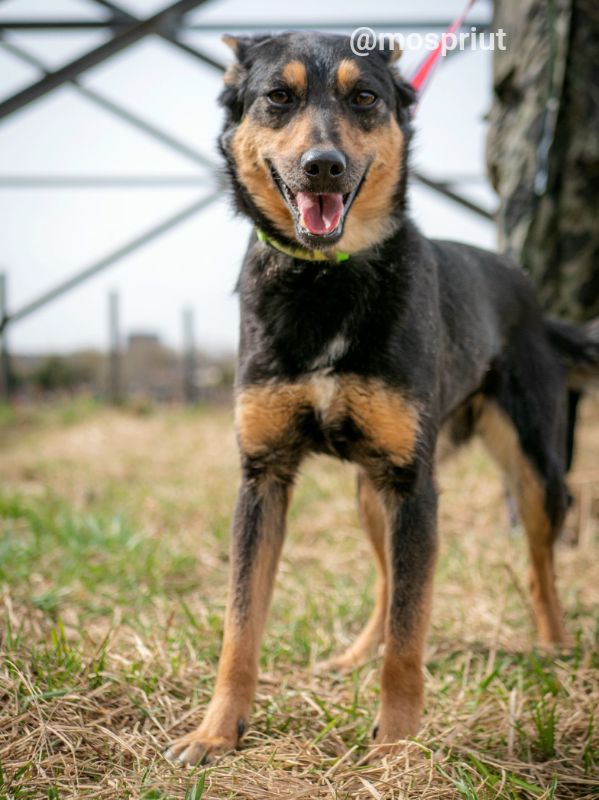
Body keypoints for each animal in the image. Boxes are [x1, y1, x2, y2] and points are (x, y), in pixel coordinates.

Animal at [165, 32, 599, 768]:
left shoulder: (411, 485)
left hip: (531, 468)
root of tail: (534, 300)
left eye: (364, 97)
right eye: (277, 97)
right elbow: (239, 626)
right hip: (372, 495)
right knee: (386, 579)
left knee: (539, 562)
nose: (324, 167)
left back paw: (553, 645)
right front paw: (216, 732)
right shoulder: (263, 479)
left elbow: (409, 635)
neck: (325, 281)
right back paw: (353, 655)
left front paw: (396, 746)